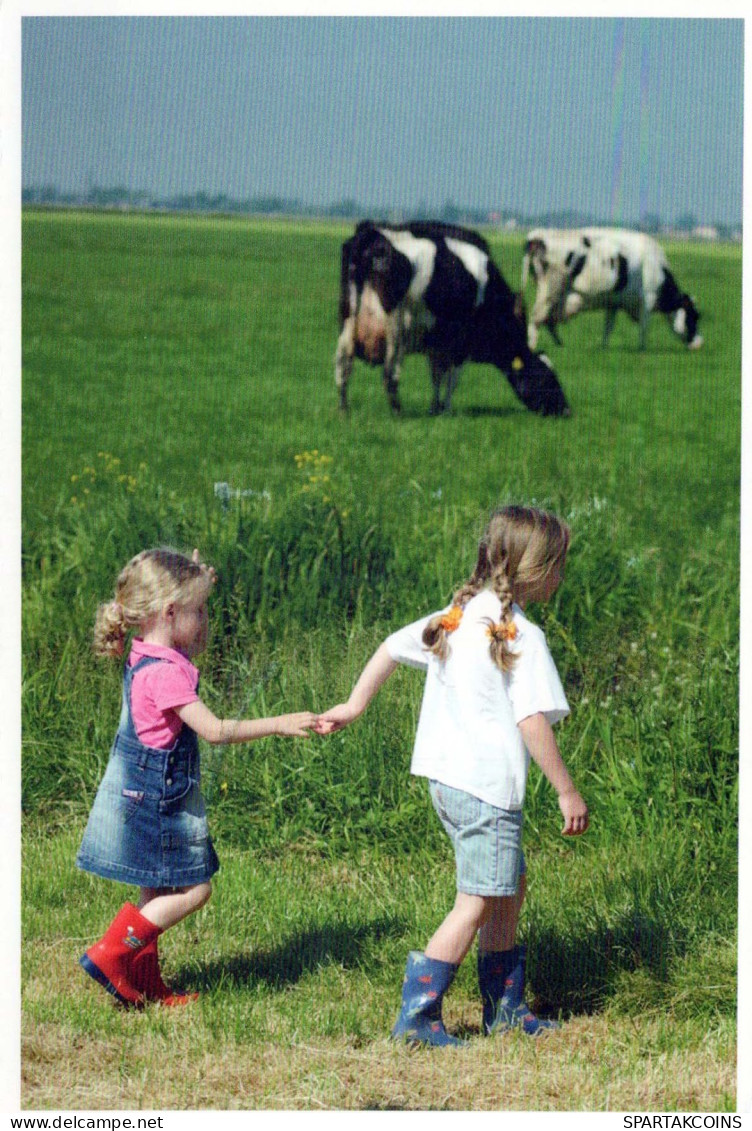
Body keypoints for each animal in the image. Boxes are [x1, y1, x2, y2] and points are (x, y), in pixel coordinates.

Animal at [334, 220, 569, 416]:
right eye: (547, 377)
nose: (566, 410)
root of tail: (371, 232)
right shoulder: (460, 344)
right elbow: (452, 379)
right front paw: (446, 410)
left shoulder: (437, 343)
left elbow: (436, 376)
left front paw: (435, 408)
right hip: (396, 329)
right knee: (389, 373)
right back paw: (397, 412)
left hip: (347, 322)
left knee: (343, 365)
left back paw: (344, 411)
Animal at [520, 227, 701, 350]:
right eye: (694, 316)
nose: (699, 343)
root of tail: (537, 235)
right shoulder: (647, 300)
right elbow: (644, 327)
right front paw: (642, 349)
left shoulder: (613, 302)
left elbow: (609, 326)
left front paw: (604, 347)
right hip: (550, 290)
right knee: (537, 318)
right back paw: (532, 346)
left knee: (547, 320)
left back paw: (560, 344)